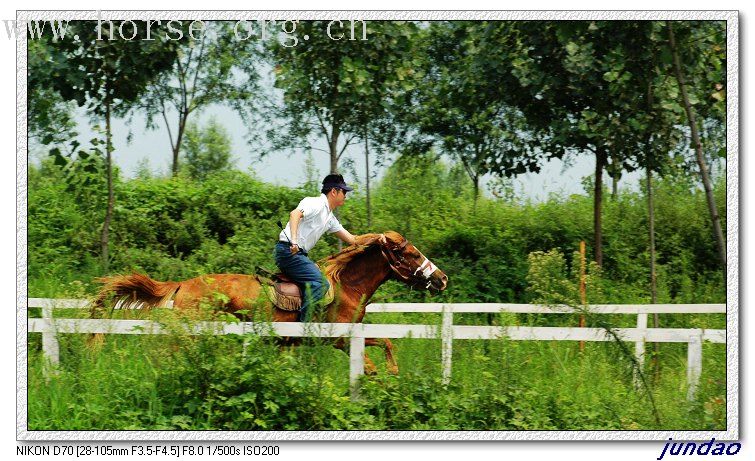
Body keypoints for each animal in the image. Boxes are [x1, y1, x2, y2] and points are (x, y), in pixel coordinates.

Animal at [94, 232, 448, 372]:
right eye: (411, 253)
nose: (442, 279)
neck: (346, 285)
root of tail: (183, 284)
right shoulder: (339, 339)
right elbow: (369, 360)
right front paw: (377, 374)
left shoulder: (353, 335)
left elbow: (387, 342)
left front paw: (393, 372)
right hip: (193, 333)